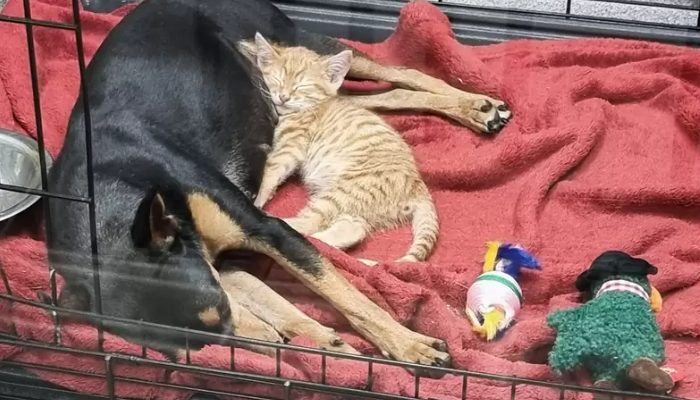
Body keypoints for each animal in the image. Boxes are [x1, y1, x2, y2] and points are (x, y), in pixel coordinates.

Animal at [241, 34, 438, 264]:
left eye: (302, 86)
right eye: (278, 80)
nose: (283, 97)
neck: (312, 107)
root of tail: (419, 187)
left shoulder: (290, 148)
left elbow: (270, 173)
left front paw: (257, 200)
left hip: (346, 191)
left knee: (312, 221)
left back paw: (279, 222)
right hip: (356, 205)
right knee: (354, 229)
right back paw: (324, 244)